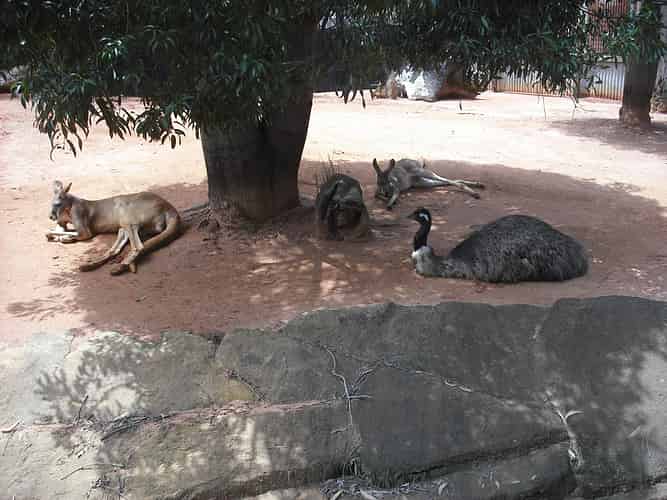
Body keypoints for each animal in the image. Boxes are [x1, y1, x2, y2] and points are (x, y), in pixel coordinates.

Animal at [47, 180, 181, 275]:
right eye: (51, 204)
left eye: (57, 204)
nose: (50, 217)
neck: (68, 206)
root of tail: (170, 208)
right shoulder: (61, 221)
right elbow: (60, 229)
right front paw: (62, 237)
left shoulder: (80, 218)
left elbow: (81, 233)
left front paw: (60, 237)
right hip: (124, 224)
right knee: (115, 249)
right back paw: (91, 266)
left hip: (128, 215)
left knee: (138, 246)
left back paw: (121, 265)